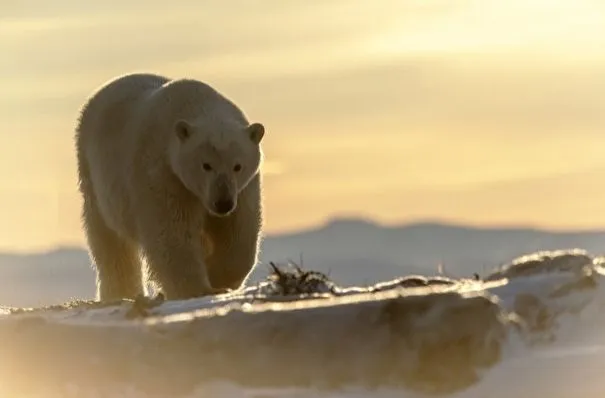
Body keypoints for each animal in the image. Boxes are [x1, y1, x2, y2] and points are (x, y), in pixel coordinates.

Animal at [75, 72, 264, 302]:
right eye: (206, 165)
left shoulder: (243, 189)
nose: (223, 203)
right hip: (94, 176)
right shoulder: (164, 174)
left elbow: (239, 231)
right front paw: (198, 288)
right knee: (109, 240)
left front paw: (219, 278)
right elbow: (171, 232)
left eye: (238, 166)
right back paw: (120, 293)